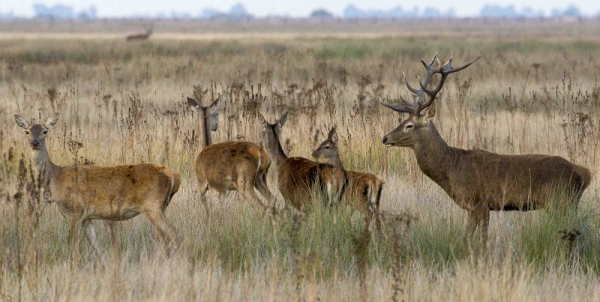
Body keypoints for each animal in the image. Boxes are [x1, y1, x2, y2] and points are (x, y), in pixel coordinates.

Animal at [14, 112, 180, 251]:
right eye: (27, 131)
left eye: (45, 131)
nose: (35, 142)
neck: (56, 180)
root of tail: (174, 175)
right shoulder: (87, 217)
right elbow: (95, 245)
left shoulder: (75, 211)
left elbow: (72, 244)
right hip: (159, 206)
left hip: (152, 205)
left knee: (172, 231)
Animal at [380, 53, 592, 243]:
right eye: (402, 121)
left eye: (409, 125)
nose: (385, 138)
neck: (453, 169)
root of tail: (584, 174)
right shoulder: (471, 207)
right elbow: (467, 237)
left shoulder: (481, 201)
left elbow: (482, 240)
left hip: (560, 200)